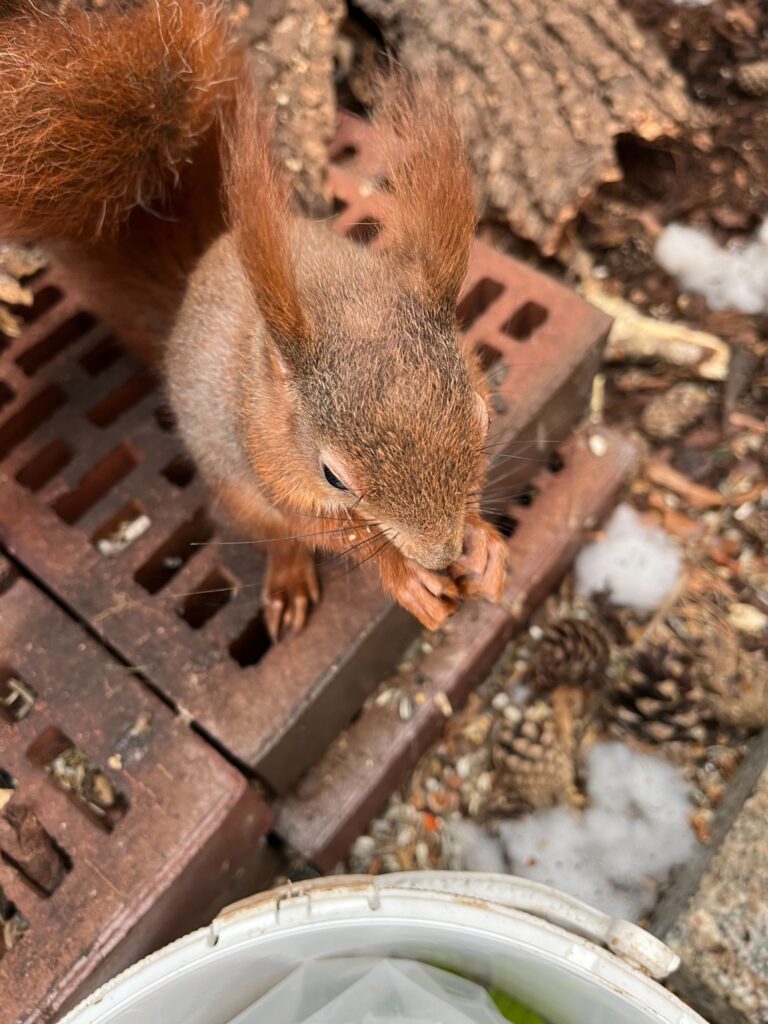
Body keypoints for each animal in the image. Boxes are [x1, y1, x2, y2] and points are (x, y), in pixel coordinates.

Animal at [0, 0, 509, 639]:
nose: (441, 553)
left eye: (483, 420)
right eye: (333, 476)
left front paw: (484, 542)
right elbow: (326, 528)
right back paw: (289, 581)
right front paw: (402, 573)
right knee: (281, 541)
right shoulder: (266, 458)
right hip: (236, 488)